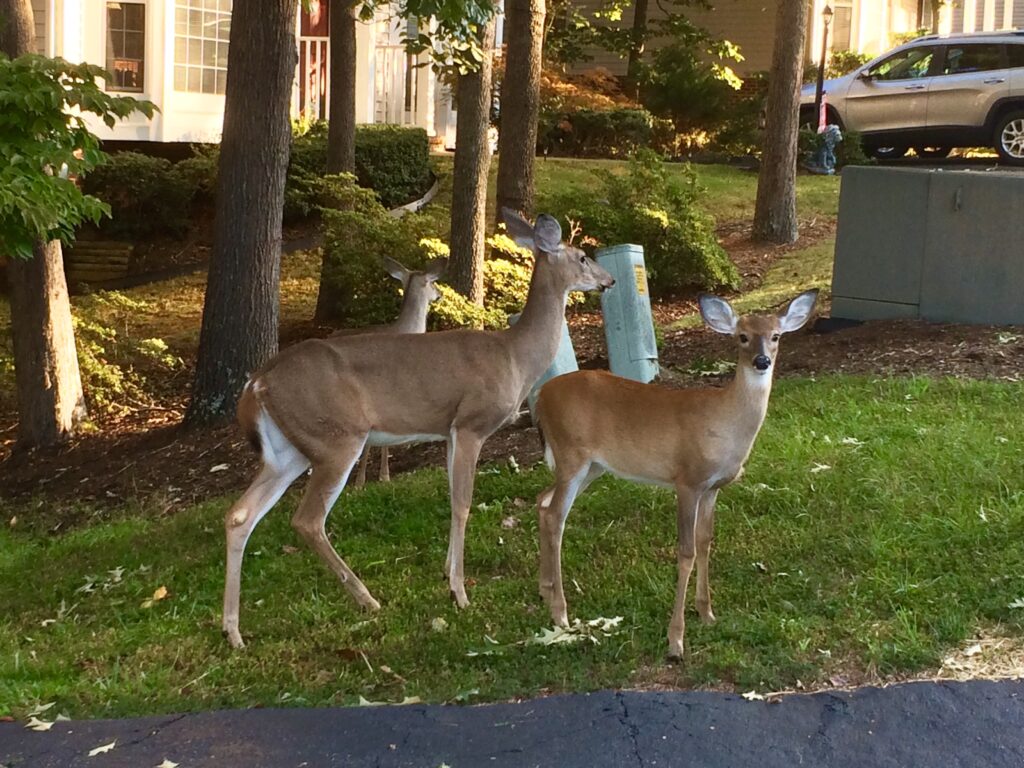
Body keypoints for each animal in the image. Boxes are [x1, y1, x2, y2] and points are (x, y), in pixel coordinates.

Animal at [532, 290, 819, 659]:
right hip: (572, 454)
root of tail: (541, 398)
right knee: (556, 516)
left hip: (590, 466)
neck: (725, 422)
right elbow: (686, 551)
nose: (761, 361)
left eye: (776, 336)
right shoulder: (687, 480)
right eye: (742, 336)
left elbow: (706, 542)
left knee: (542, 502)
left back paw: (545, 591)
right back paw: (561, 613)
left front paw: (708, 613)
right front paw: (676, 641)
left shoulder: (712, 488)